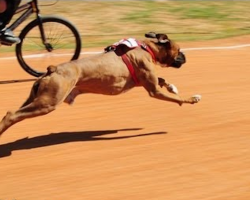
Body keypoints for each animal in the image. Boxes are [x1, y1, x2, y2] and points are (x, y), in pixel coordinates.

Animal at [0, 32, 200, 136]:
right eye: (179, 50)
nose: (185, 56)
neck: (147, 47)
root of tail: (53, 69)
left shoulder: (147, 83)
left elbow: (163, 81)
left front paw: (172, 86)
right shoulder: (153, 91)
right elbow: (178, 99)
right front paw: (191, 99)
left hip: (36, 99)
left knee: (12, 113)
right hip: (47, 103)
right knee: (11, 115)